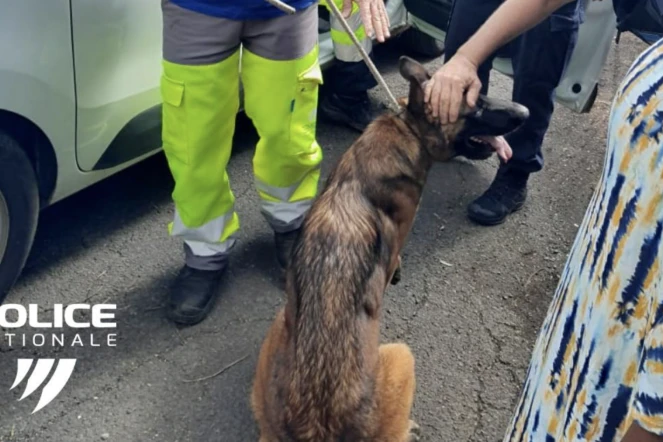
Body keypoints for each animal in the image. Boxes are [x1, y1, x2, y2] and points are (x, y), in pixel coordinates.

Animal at [250, 56, 528, 442]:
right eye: (475, 107)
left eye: (482, 95)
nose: (525, 110)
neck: (408, 129)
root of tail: (316, 429)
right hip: (401, 355)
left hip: (279, 331)